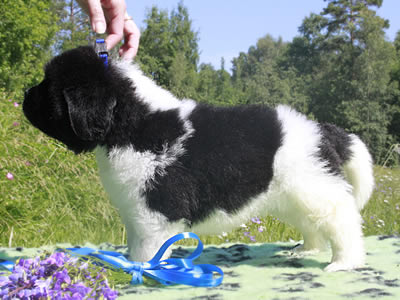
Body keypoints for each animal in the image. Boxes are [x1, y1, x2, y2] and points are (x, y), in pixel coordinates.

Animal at [23, 46, 376, 272]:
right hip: (295, 194)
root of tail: (324, 130)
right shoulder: (137, 211)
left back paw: (344, 263)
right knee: (313, 224)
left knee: (343, 222)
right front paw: (130, 266)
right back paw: (306, 250)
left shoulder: (156, 210)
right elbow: (135, 244)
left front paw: (141, 272)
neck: (135, 125)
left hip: (315, 189)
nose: (25, 95)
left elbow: (148, 250)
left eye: (48, 88)